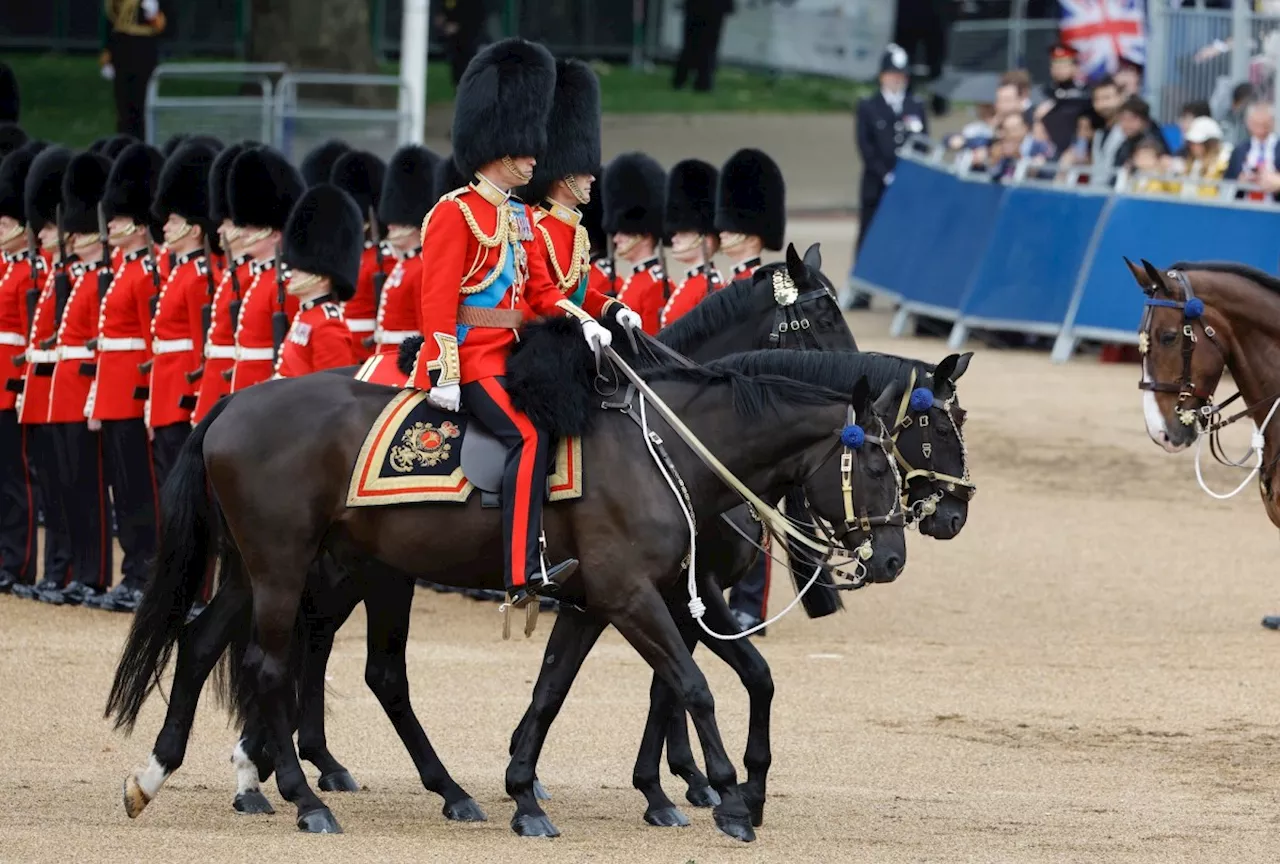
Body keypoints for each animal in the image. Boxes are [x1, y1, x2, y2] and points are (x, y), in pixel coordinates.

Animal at [107, 330, 911, 839]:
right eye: (878, 465)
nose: (893, 561)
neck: (663, 449)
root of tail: (236, 402)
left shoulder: (598, 600)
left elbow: (553, 690)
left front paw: (525, 792)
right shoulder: (631, 595)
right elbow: (694, 685)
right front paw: (728, 797)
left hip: (269, 567)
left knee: (205, 641)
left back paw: (159, 772)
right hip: (288, 564)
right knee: (274, 665)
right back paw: (306, 798)